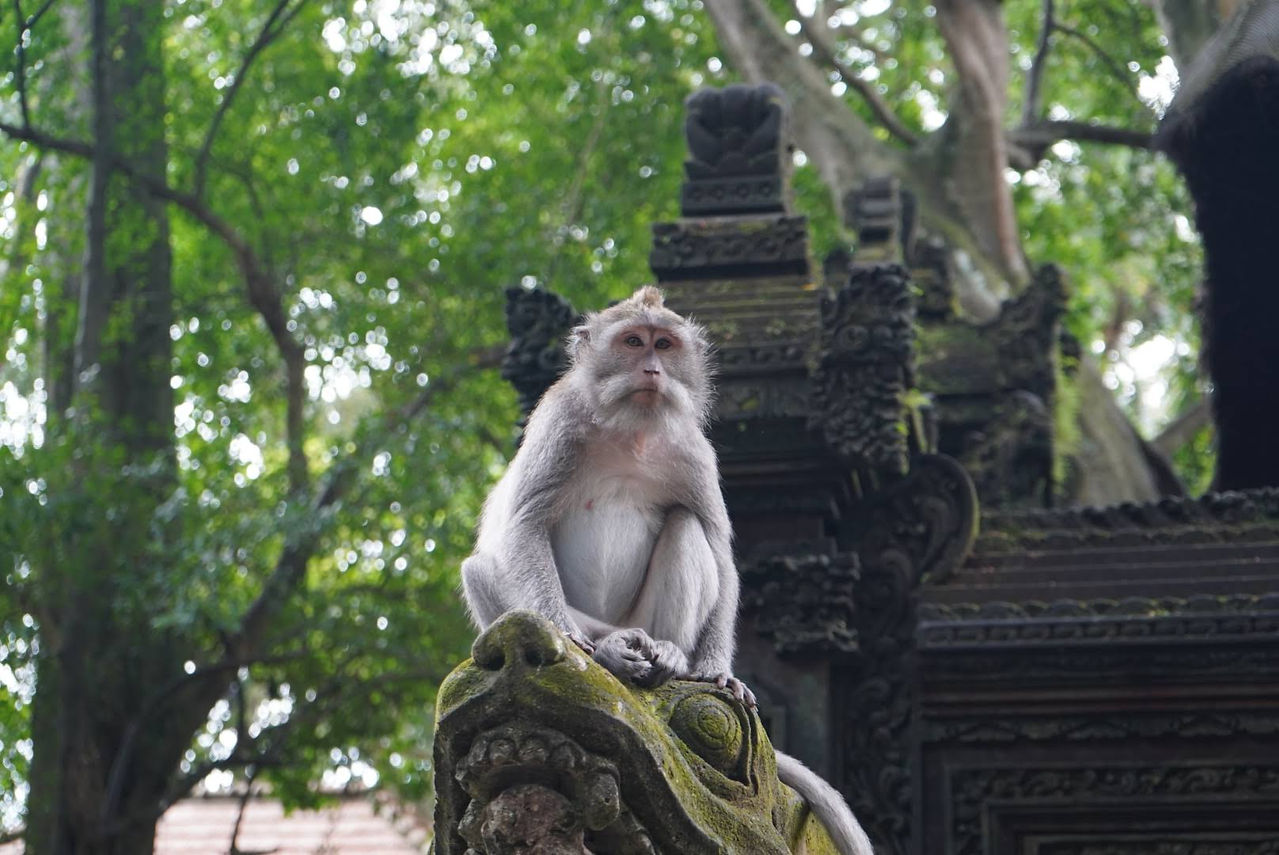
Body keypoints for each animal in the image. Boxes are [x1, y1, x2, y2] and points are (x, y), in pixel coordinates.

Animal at [461, 286, 874, 855]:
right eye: (633, 342)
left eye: (664, 344)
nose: (652, 369)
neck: (631, 430)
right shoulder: (559, 424)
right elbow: (525, 526)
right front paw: (568, 640)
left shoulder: (693, 450)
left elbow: (718, 548)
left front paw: (718, 670)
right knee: (482, 565)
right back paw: (610, 651)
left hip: (650, 617)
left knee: (685, 526)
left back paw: (673, 657)